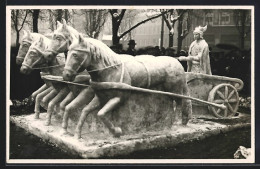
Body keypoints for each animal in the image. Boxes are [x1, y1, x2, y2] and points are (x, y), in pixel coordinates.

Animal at [63, 34, 193, 139]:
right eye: (67, 53)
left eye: (75, 55)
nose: (66, 75)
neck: (110, 70)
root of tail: (179, 64)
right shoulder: (101, 97)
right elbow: (85, 110)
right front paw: (76, 134)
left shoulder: (119, 98)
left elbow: (101, 114)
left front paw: (117, 131)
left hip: (175, 90)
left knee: (182, 102)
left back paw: (178, 122)